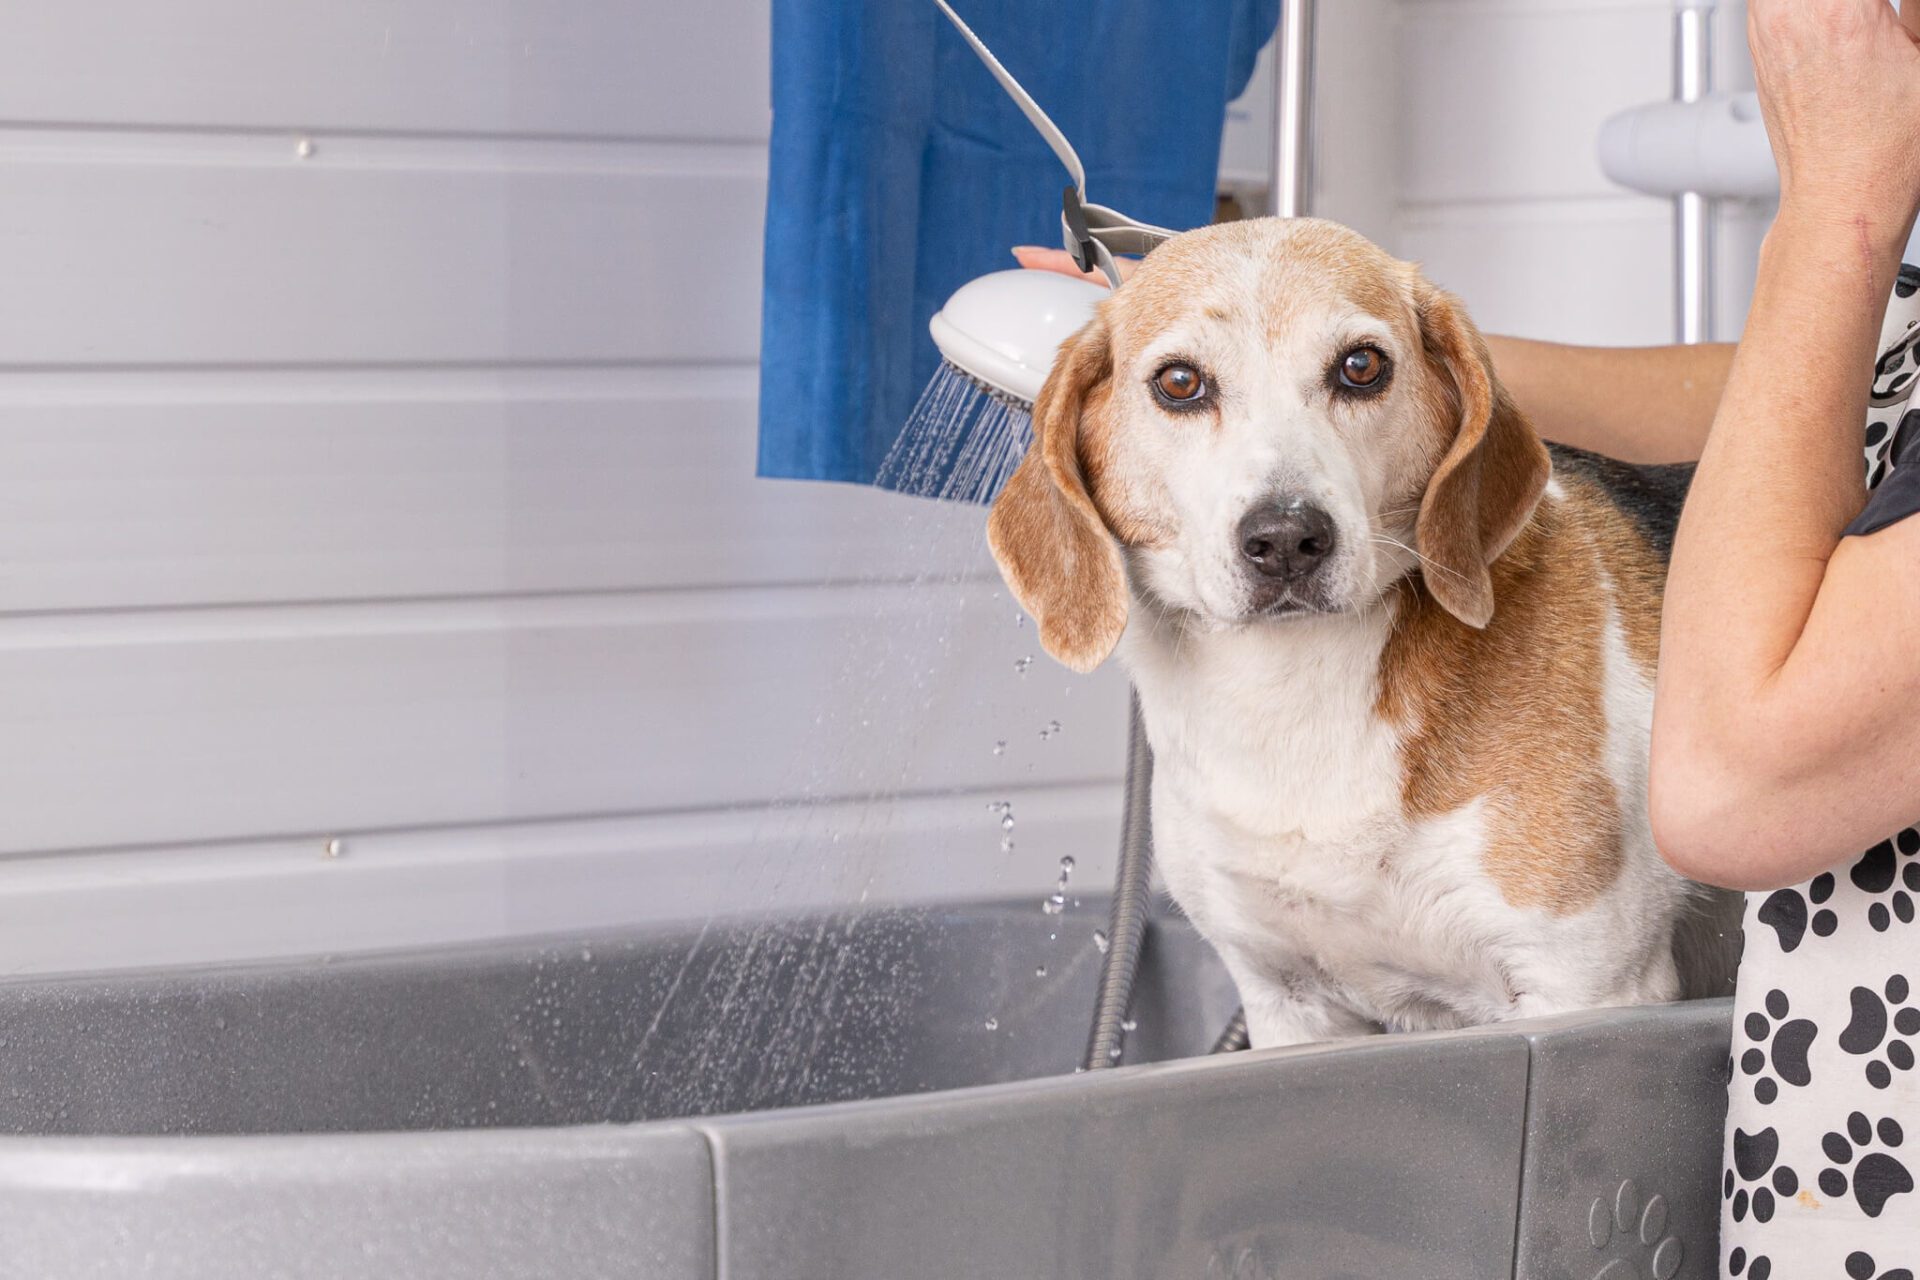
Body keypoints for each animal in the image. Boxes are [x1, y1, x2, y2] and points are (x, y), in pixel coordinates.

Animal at [998, 213, 1735, 1051]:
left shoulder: (1586, 983)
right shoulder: (1287, 1003)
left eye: (1360, 367)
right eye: (1180, 383)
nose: (1287, 538)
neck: (1285, 696)